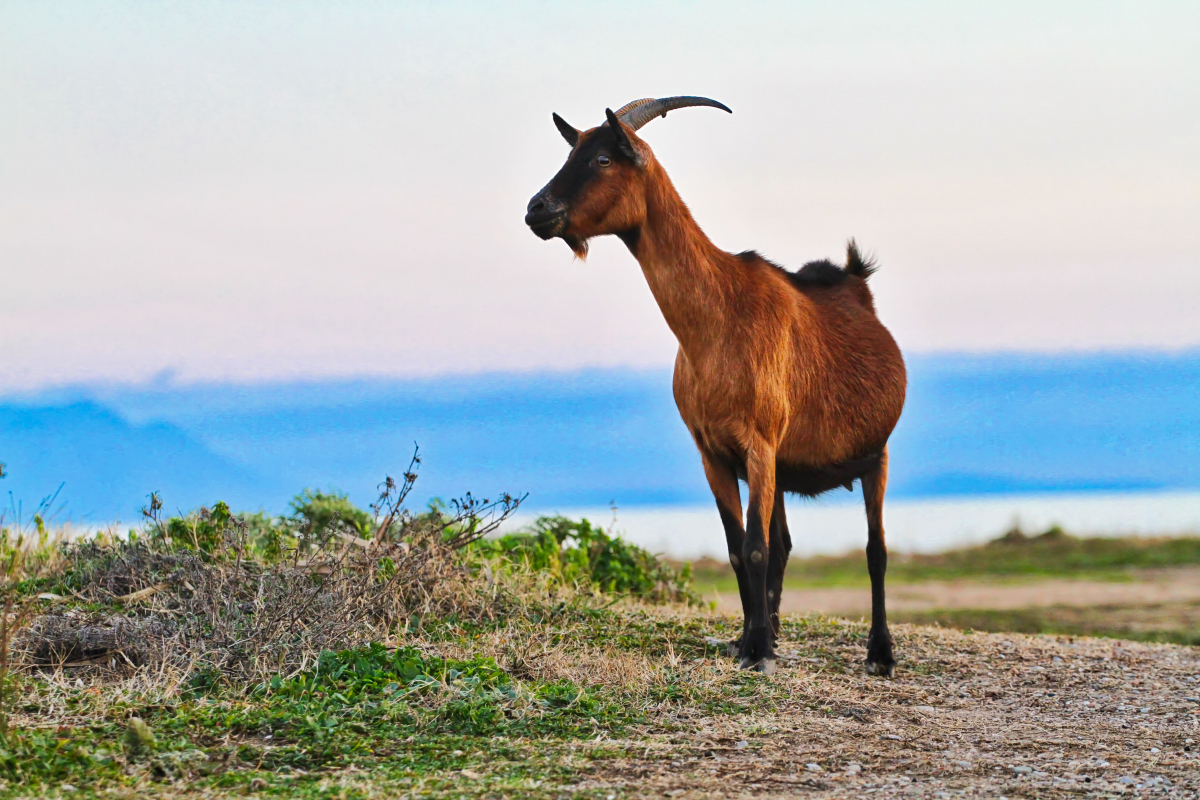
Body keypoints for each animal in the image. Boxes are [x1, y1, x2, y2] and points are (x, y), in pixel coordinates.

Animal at [520, 98, 902, 676]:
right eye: (572, 152)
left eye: (604, 158)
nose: (537, 209)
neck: (718, 318)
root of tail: (857, 283)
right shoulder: (714, 453)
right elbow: (739, 549)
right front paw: (749, 642)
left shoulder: (759, 443)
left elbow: (757, 548)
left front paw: (760, 651)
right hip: (785, 465)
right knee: (784, 542)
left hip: (874, 454)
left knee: (874, 549)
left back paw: (879, 653)